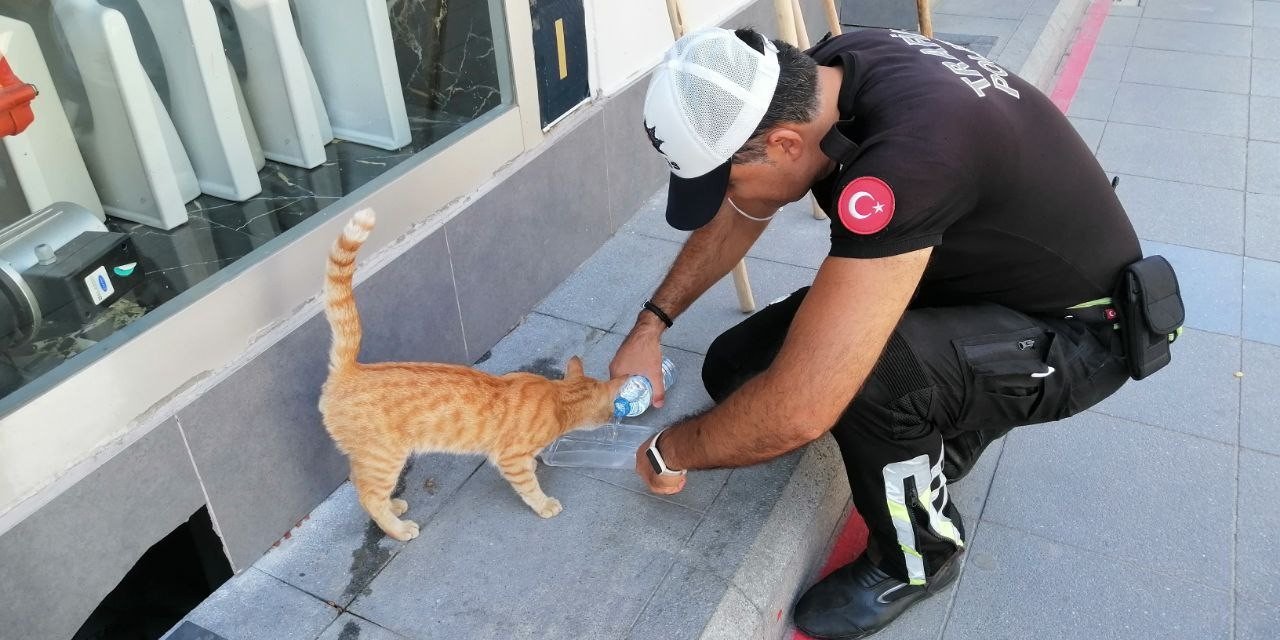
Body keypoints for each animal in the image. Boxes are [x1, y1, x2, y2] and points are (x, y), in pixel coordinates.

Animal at [320, 209, 629, 540]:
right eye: (611, 409)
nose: (614, 420)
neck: (559, 398)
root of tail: (351, 369)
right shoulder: (510, 459)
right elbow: (529, 486)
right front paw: (544, 504)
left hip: (370, 459)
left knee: (360, 483)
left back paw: (394, 506)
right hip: (384, 457)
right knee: (369, 496)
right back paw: (398, 528)